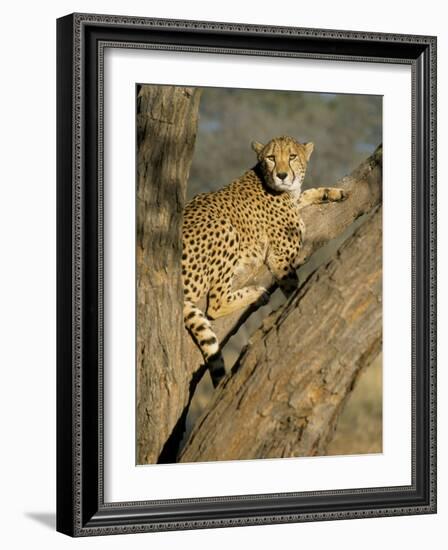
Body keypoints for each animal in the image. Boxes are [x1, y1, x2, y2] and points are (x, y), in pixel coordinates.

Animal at [182, 136, 346, 388]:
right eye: (271, 157)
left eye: (292, 156)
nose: (282, 175)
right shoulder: (280, 258)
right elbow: (293, 287)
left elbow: (307, 193)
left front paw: (333, 192)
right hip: (226, 227)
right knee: (215, 304)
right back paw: (257, 294)